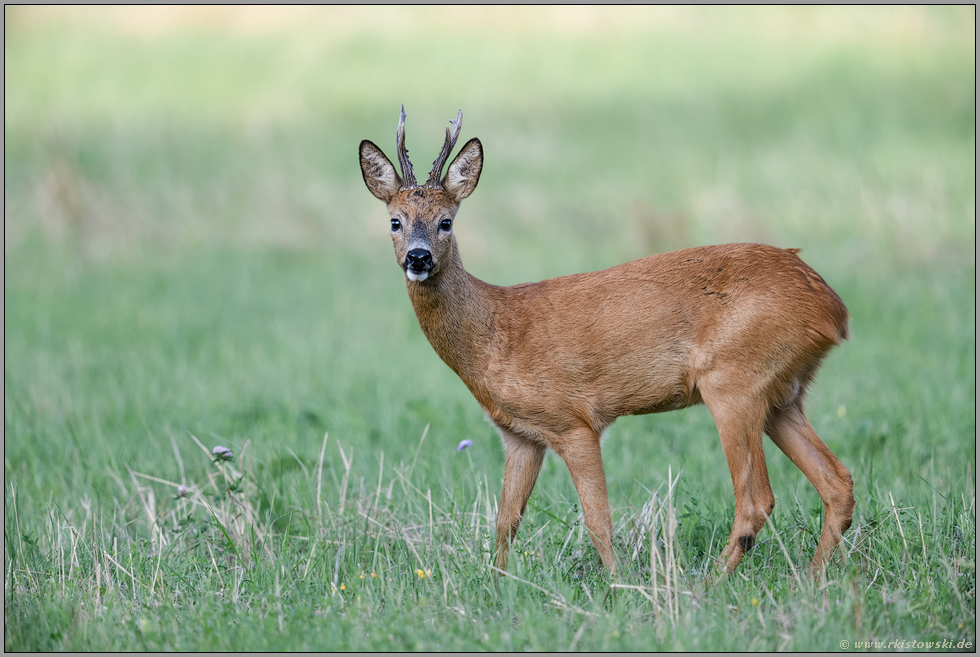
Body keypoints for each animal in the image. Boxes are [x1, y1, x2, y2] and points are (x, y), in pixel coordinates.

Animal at [362, 106, 856, 576]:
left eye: (446, 222)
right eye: (395, 222)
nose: (418, 257)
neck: (494, 334)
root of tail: (833, 309)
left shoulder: (573, 421)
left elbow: (598, 520)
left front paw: (618, 586)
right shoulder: (519, 435)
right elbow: (505, 521)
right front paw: (497, 584)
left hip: (734, 382)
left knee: (756, 499)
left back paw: (708, 584)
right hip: (782, 395)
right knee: (837, 482)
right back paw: (811, 578)